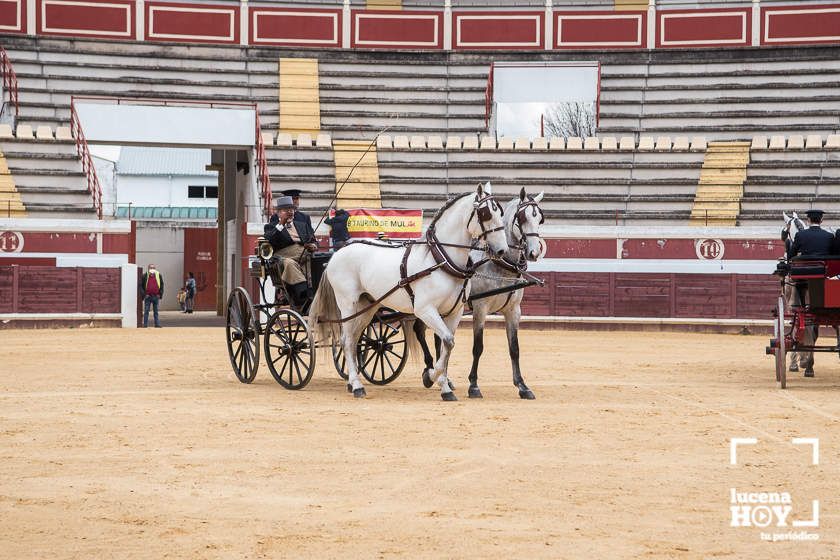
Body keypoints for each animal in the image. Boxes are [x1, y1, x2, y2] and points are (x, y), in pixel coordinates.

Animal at [308, 183, 506, 398]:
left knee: (354, 340)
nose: (502, 250)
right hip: (348, 304)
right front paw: (431, 377)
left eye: (500, 212)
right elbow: (447, 341)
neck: (440, 260)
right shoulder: (425, 310)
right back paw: (357, 385)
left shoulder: (455, 312)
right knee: (346, 340)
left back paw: (353, 383)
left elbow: (448, 345)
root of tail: (338, 253)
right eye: (486, 213)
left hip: (367, 306)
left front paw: (443, 386)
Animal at [414, 190, 544, 400]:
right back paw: (429, 370)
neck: (500, 266)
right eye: (522, 218)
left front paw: (522, 386)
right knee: (420, 330)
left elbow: (514, 348)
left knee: (439, 338)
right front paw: (473, 385)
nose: (533, 252)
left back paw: (444, 378)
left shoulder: (513, 311)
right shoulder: (480, 309)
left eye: (540, 218)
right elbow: (478, 347)